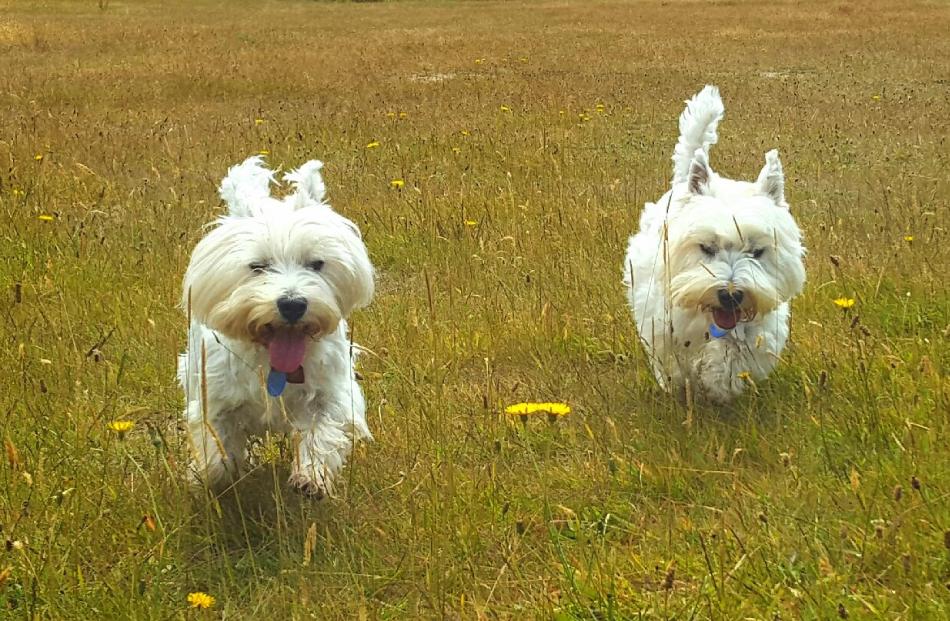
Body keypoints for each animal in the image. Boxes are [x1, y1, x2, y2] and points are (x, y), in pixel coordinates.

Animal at [178, 157, 376, 496]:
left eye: (317, 264)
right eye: (257, 266)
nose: (293, 304)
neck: (271, 361)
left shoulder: (330, 391)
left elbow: (322, 430)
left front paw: (311, 477)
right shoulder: (214, 397)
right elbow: (217, 449)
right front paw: (210, 477)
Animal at [624, 87, 804, 404]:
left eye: (757, 251)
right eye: (707, 247)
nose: (730, 295)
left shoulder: (759, 326)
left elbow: (733, 355)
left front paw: (719, 382)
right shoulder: (663, 320)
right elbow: (673, 358)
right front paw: (683, 381)